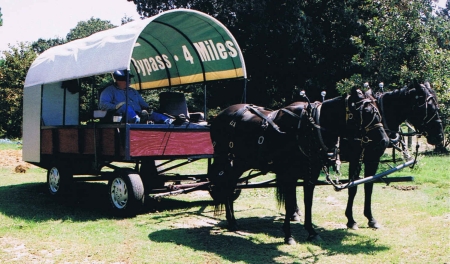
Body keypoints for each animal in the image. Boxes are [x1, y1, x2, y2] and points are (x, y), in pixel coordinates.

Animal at [209, 87, 388, 244]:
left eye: (378, 111)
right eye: (366, 112)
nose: (384, 141)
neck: (307, 127)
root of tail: (219, 116)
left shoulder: (311, 174)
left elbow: (308, 201)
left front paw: (311, 231)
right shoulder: (289, 175)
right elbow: (289, 205)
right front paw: (288, 236)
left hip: (239, 163)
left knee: (230, 185)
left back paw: (232, 221)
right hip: (228, 161)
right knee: (225, 185)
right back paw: (231, 221)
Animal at [344, 81, 442, 230]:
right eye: (429, 108)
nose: (440, 136)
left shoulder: (373, 159)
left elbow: (369, 185)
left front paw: (370, 219)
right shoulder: (355, 159)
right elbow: (353, 187)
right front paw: (351, 220)